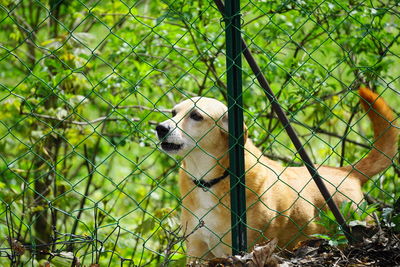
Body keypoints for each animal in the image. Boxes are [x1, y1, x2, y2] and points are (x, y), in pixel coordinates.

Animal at [155, 89, 396, 260]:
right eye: (174, 113)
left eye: (196, 116)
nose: (160, 128)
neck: (211, 180)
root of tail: (346, 171)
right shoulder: (197, 249)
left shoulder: (247, 247)